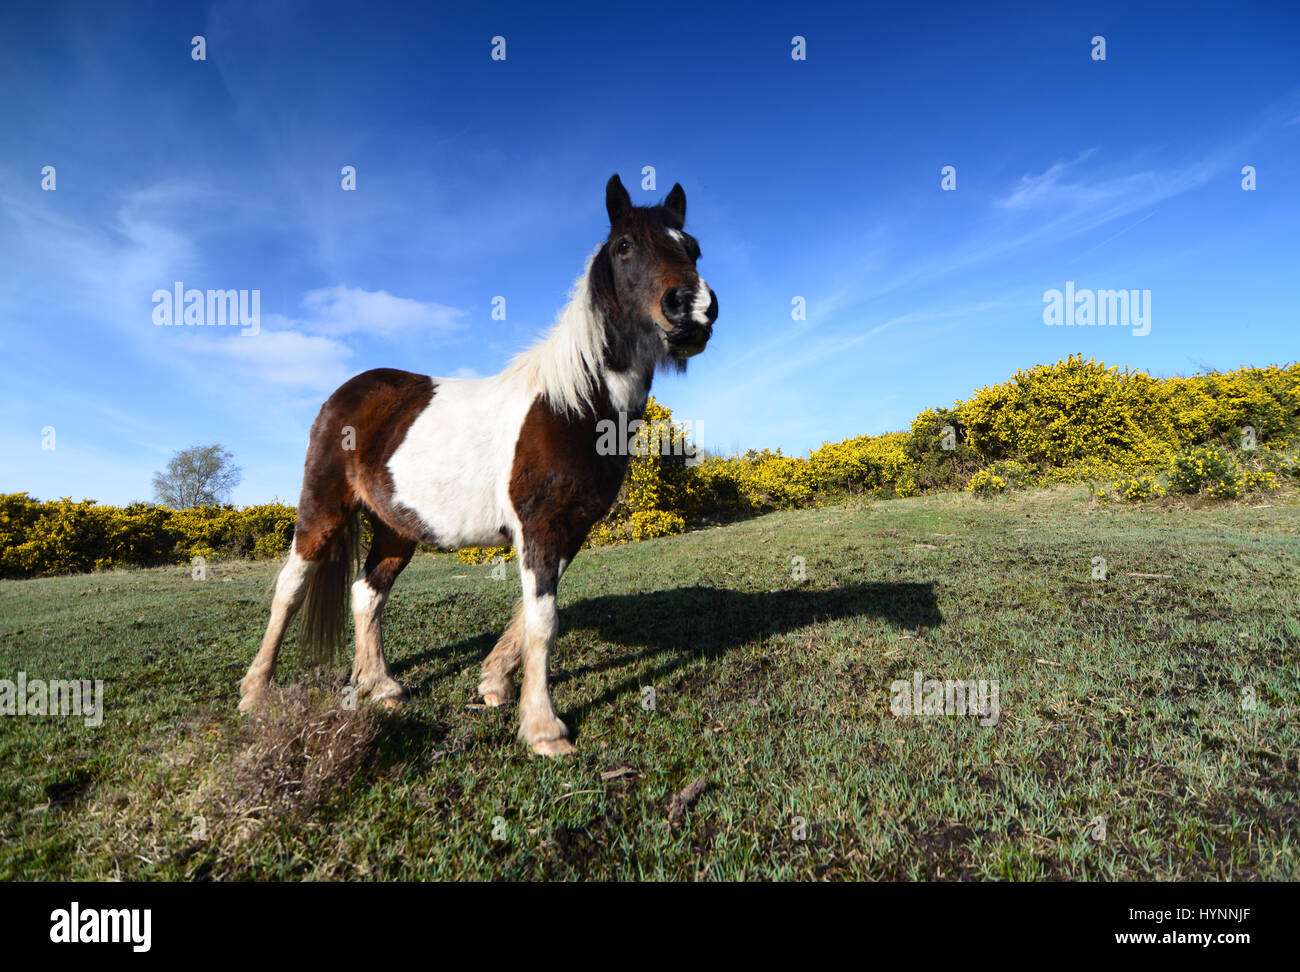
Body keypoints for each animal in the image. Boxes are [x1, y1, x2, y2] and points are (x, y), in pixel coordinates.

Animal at [239, 170, 717, 753]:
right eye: (626, 246)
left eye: (692, 247)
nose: (692, 309)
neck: (571, 404)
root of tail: (345, 394)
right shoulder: (539, 526)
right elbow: (543, 621)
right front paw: (543, 728)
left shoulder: (569, 529)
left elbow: (532, 614)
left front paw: (494, 684)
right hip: (323, 510)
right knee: (289, 589)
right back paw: (256, 692)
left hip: (397, 527)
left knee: (366, 594)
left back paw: (380, 686)